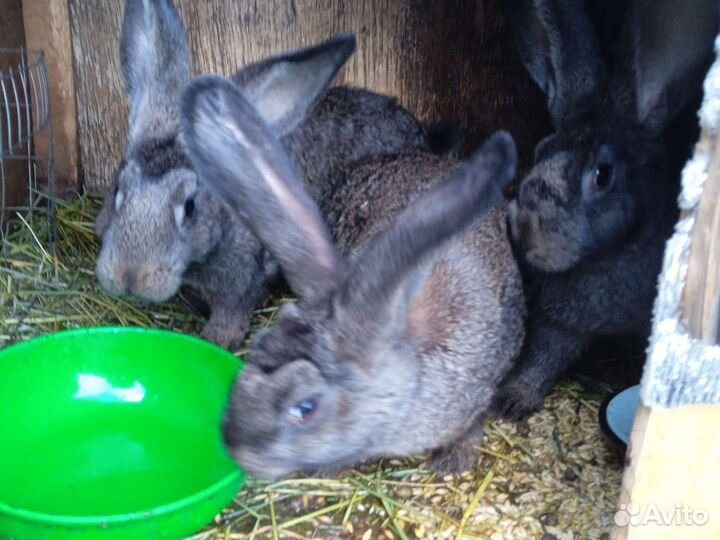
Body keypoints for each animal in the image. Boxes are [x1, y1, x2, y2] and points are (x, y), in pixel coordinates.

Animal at [94, 0, 456, 350]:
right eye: (118, 191)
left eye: (190, 207)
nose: (130, 276)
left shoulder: (243, 282)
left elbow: (231, 317)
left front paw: (215, 339)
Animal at [490, 0, 719, 420]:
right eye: (540, 151)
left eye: (602, 175)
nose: (526, 230)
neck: (606, 257)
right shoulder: (564, 320)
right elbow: (542, 357)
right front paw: (514, 399)